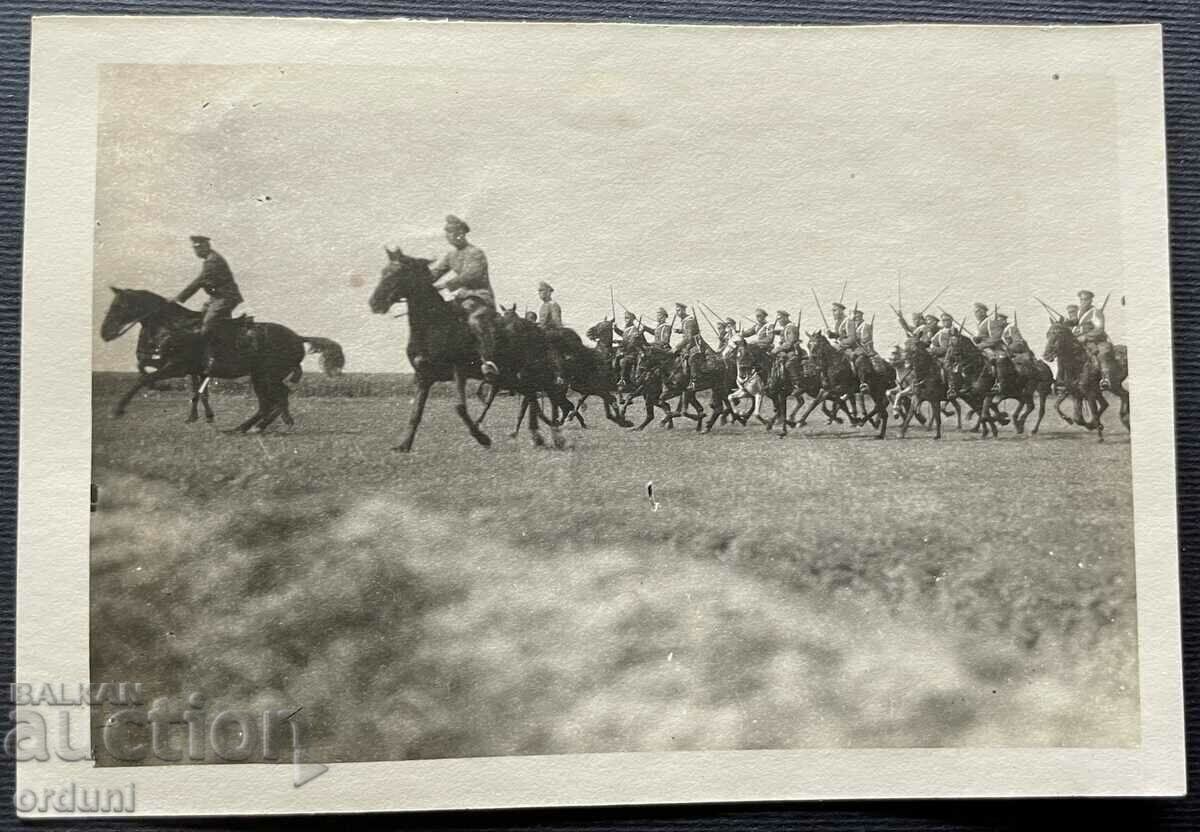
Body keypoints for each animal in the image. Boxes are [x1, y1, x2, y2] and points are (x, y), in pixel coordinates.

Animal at [99, 286, 345, 432]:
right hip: (260, 377)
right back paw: (247, 427)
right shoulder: (182, 367)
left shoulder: (177, 367)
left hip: (267, 376)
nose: (105, 333)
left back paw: (259, 426)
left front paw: (118, 409)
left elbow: (144, 379)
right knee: (271, 401)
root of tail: (298, 337)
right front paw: (197, 415)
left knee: (278, 398)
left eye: (119, 305)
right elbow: (149, 371)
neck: (176, 327)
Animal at [364, 246, 566, 451]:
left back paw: (555, 435)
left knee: (548, 396)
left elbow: (460, 407)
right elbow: (416, 412)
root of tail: (537, 330)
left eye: (399, 272)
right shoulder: (423, 376)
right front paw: (404, 445)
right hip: (515, 378)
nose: (375, 303)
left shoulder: (459, 371)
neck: (434, 325)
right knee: (532, 398)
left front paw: (482, 438)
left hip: (532, 374)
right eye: (383, 272)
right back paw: (538, 436)